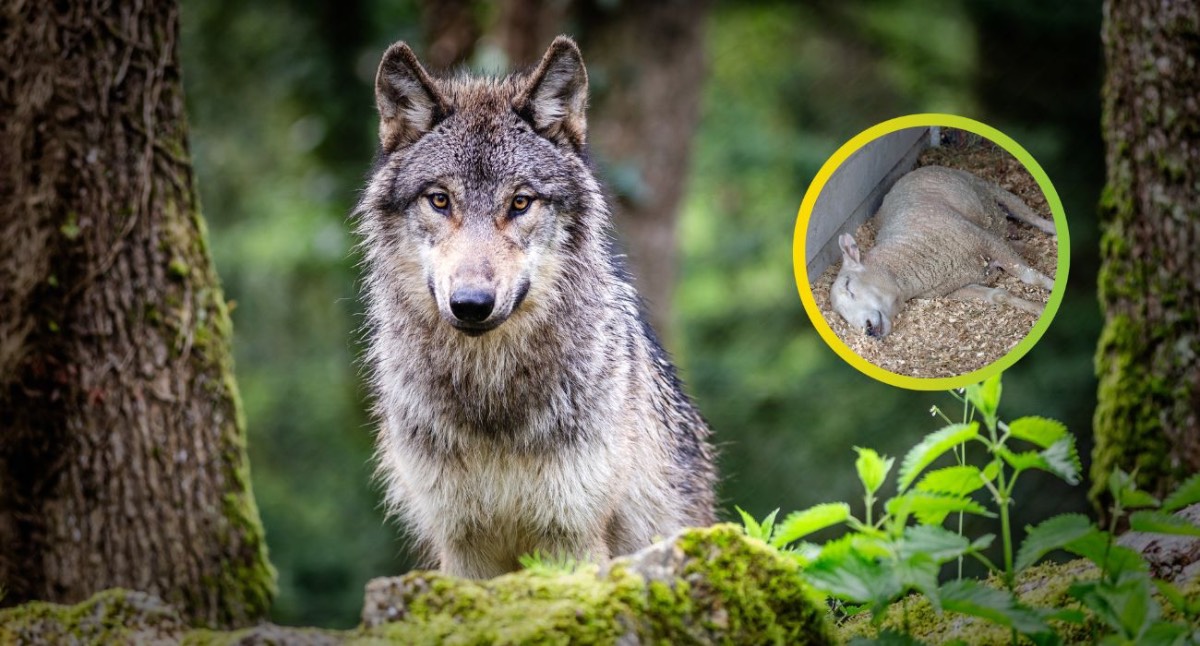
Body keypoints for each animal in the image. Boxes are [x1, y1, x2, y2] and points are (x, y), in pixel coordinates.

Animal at [354, 37, 716, 579]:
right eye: (439, 200)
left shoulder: (571, 537)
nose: (471, 304)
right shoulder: (462, 546)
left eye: (520, 203)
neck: (491, 401)